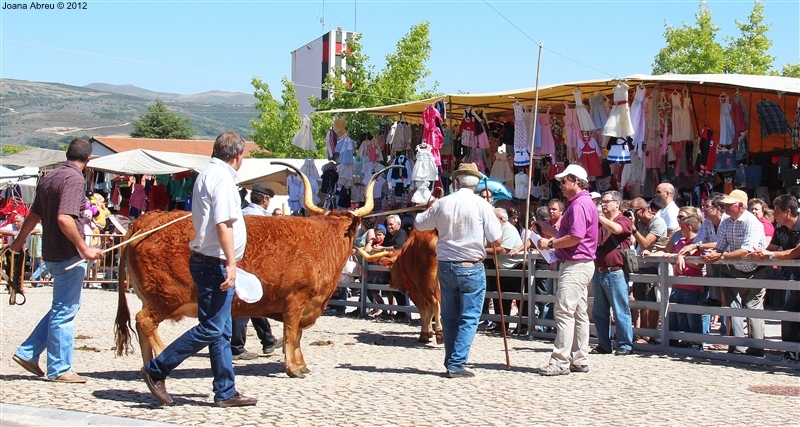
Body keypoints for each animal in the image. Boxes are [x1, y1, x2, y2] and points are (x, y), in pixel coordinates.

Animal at [115, 164, 394, 378]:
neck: (324, 239)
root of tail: (147, 220)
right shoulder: (296, 299)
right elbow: (291, 332)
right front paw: (293, 367)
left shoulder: (307, 304)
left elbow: (298, 335)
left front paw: (301, 364)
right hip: (167, 296)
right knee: (145, 321)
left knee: (143, 326)